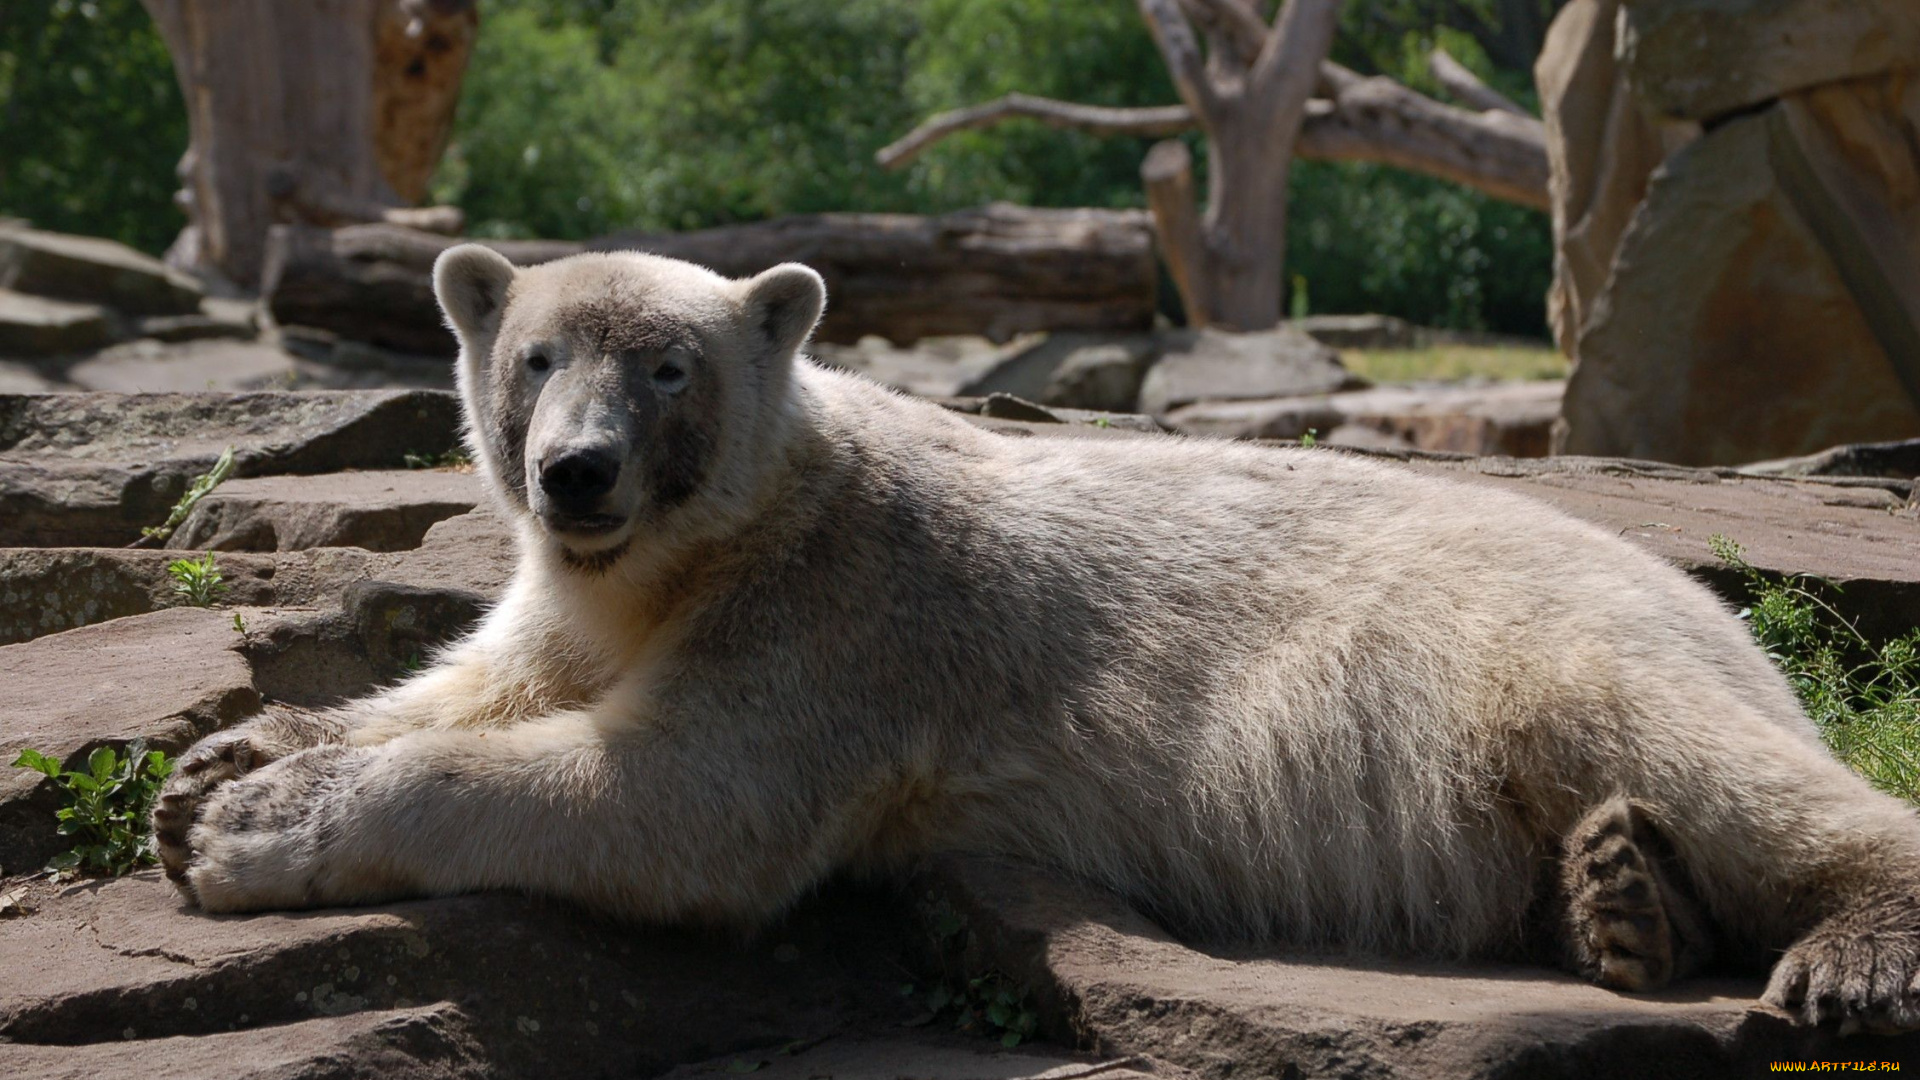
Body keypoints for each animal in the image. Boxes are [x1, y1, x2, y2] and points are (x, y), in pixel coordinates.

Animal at [155, 244, 1920, 1033]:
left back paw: (1839, 955)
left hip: (1545, 644)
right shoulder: (584, 595)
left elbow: (673, 800)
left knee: (1717, 764)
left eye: (666, 367)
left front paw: (247, 830)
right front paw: (221, 759)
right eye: (532, 357)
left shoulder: (845, 619)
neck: (695, 551)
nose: (574, 472)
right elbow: (486, 677)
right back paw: (1620, 899)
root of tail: (1707, 599)